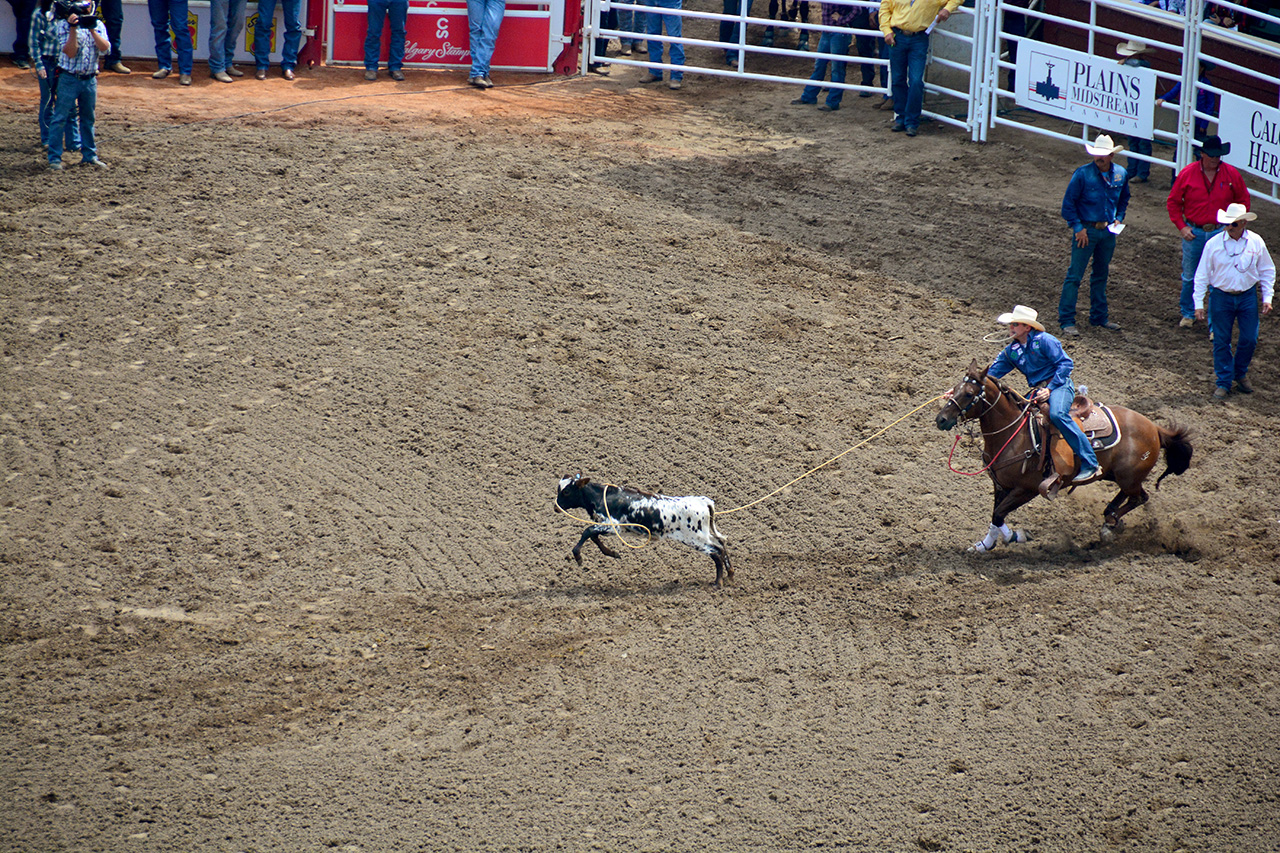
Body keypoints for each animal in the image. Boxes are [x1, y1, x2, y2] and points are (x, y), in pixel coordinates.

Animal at [550, 471, 732, 584]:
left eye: (566, 492)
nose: (556, 507)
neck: (601, 497)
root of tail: (703, 501)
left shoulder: (613, 526)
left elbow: (587, 532)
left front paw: (578, 557)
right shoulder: (608, 527)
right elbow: (593, 536)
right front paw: (612, 553)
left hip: (695, 539)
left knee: (716, 551)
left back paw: (718, 582)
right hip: (703, 535)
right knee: (721, 545)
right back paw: (730, 574)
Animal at [936, 356, 1192, 548]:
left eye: (969, 394)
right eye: (955, 389)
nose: (941, 419)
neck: (1015, 435)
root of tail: (1155, 428)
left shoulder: (1025, 490)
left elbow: (999, 514)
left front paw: (1016, 536)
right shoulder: (1000, 485)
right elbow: (995, 516)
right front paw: (985, 545)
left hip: (1129, 477)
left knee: (1139, 497)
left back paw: (1109, 525)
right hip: (1116, 475)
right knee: (1130, 496)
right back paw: (1109, 519)